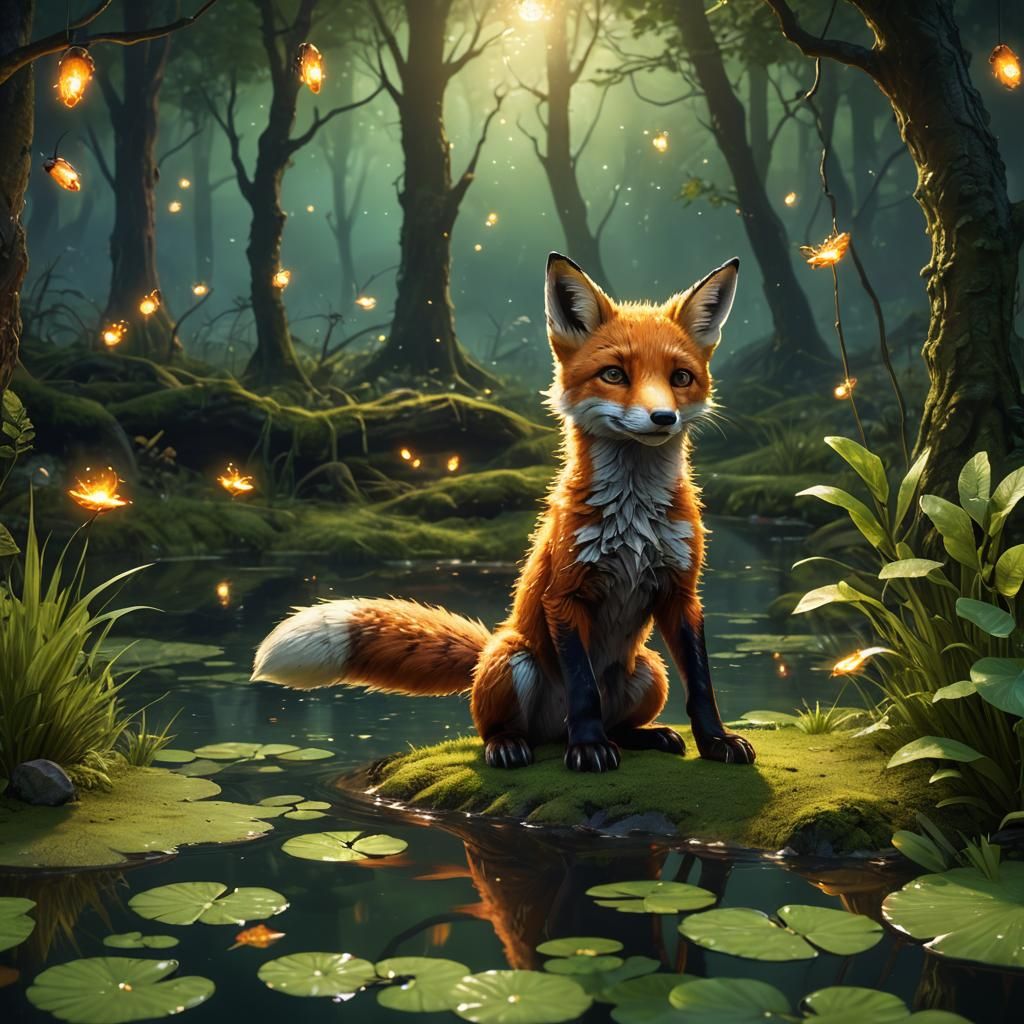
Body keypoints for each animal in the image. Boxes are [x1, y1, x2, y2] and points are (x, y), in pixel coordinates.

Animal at [251, 252, 756, 771]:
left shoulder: (681, 593)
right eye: (614, 374)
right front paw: (588, 749)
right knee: (500, 727)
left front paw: (716, 741)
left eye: (680, 378)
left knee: (619, 722)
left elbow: (702, 686)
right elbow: (583, 689)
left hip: (649, 672)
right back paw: (517, 745)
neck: (633, 520)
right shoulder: (564, 595)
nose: (663, 418)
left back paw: (647, 736)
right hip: (514, 662)